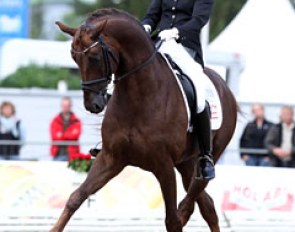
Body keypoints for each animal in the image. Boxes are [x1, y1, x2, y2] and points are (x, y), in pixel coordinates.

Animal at [53, 8, 238, 232]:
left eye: (95, 57)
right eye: (74, 58)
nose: (92, 105)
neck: (139, 96)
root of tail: (224, 86)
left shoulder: (164, 165)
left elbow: (172, 220)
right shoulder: (111, 158)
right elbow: (76, 197)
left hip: (208, 157)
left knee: (191, 200)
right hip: (186, 163)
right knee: (207, 205)